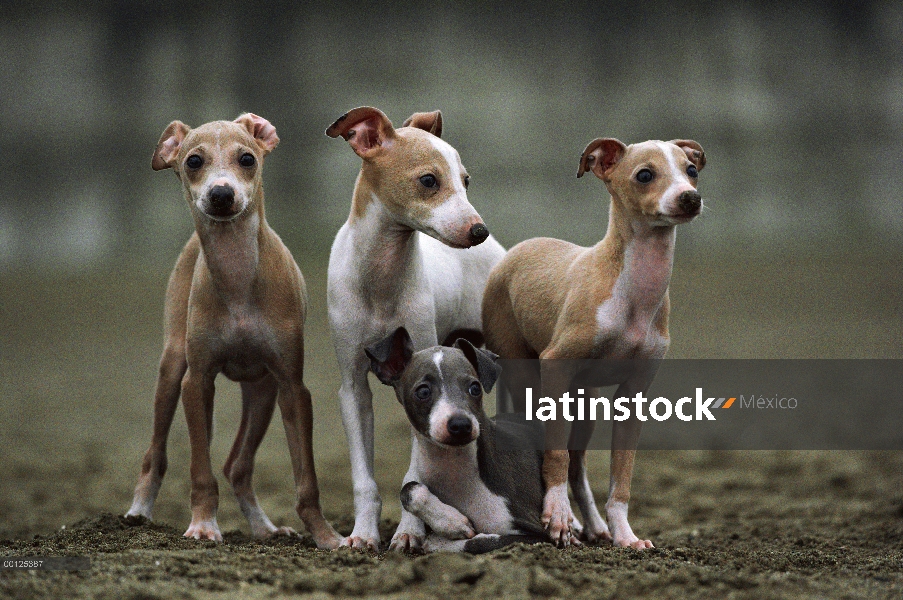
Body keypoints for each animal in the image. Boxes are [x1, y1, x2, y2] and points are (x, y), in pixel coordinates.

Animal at [131, 113, 346, 548]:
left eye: (247, 158)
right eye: (193, 161)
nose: (220, 194)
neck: (238, 277)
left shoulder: (291, 386)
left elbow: (306, 478)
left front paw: (326, 536)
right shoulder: (197, 383)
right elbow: (200, 469)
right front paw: (202, 525)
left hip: (262, 391)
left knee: (237, 465)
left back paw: (265, 529)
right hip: (172, 369)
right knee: (156, 453)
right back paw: (139, 510)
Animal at [324, 105, 508, 552]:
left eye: (466, 181)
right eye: (428, 180)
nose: (478, 231)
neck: (381, 281)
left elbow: (415, 472)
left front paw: (409, 533)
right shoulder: (353, 387)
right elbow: (365, 479)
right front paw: (362, 535)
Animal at [368, 328, 552, 552]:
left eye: (475, 388)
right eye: (423, 391)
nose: (461, 425)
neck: (456, 472)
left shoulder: (536, 536)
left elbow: (478, 541)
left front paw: (445, 534)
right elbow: (409, 488)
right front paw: (451, 522)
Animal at [488, 136, 708, 548]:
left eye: (692, 170)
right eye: (644, 174)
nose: (690, 198)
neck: (632, 293)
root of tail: (520, 247)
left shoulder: (634, 393)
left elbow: (622, 475)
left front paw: (625, 535)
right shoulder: (556, 364)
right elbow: (555, 454)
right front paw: (557, 517)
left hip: (584, 400)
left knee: (578, 463)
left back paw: (593, 526)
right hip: (526, 378)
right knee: (552, 448)